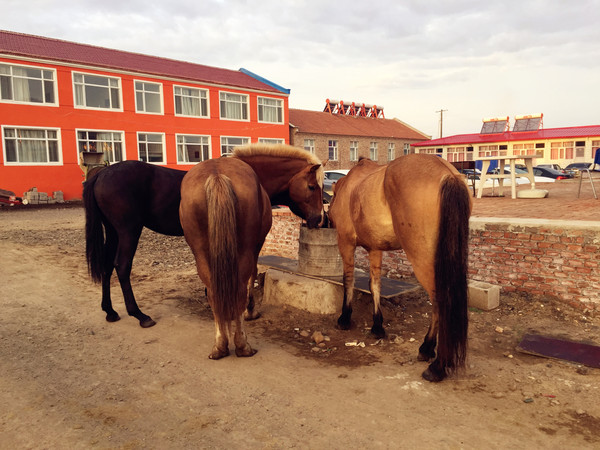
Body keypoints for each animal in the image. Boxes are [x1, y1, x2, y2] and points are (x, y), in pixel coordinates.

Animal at [84, 144, 324, 326]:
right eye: (312, 186)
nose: (319, 219)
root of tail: (101, 174)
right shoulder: (255, 241)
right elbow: (251, 272)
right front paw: (249, 310)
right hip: (129, 231)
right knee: (122, 266)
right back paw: (140, 315)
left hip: (113, 232)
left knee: (107, 266)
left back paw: (110, 311)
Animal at [180, 146, 326, 360]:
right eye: (312, 186)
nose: (320, 219)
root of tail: (217, 175)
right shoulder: (257, 245)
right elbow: (253, 275)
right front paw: (251, 311)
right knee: (239, 291)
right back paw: (242, 345)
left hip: (201, 254)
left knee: (214, 294)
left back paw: (220, 345)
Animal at [328, 155, 474, 384]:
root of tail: (449, 176)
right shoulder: (375, 249)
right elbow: (375, 284)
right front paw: (377, 326)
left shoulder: (345, 242)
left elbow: (348, 279)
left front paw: (345, 318)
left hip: (422, 259)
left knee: (440, 300)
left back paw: (435, 362)